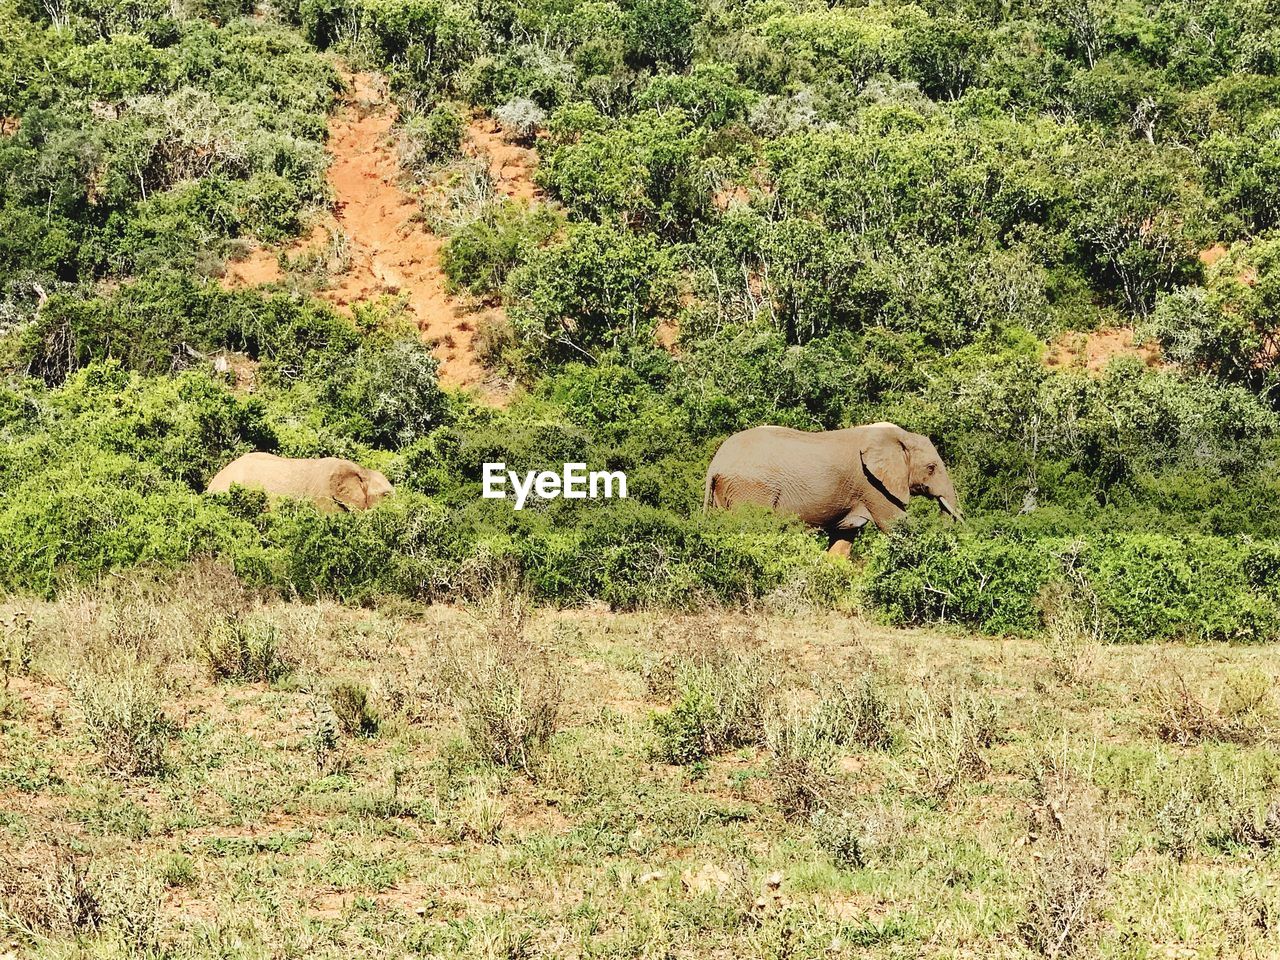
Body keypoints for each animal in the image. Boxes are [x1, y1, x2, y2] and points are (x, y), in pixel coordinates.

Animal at [706, 422, 962, 552]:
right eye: (931, 468)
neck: (899, 436)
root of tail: (715, 463)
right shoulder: (872, 484)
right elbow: (896, 525)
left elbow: (843, 538)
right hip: (750, 488)